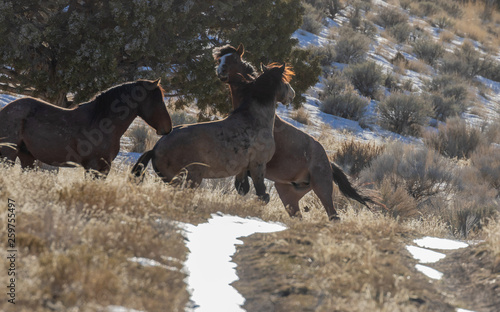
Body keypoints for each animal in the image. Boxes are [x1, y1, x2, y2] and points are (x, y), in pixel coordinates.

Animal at [133, 64, 294, 204]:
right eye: (285, 81)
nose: (292, 93)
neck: (255, 119)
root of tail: (155, 149)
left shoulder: (242, 169)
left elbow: (243, 189)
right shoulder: (258, 165)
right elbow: (262, 195)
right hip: (188, 180)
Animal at [211, 44, 372, 221]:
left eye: (233, 59)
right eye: (219, 59)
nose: (220, 71)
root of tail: (329, 163)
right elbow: (242, 185)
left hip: (322, 188)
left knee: (333, 215)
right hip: (287, 191)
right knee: (297, 215)